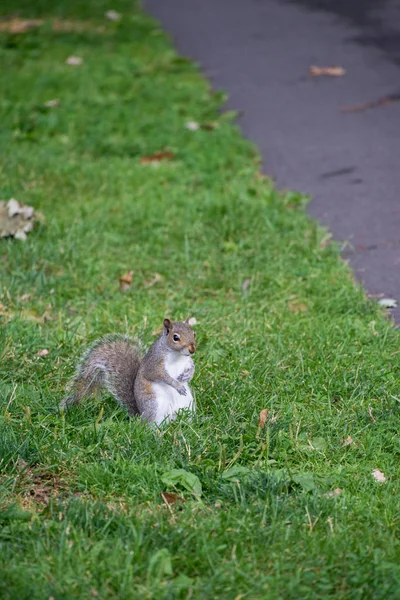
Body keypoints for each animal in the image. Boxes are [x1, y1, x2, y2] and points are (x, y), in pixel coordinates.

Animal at [60, 316, 195, 424]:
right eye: (175, 337)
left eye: (194, 333)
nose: (192, 350)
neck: (177, 355)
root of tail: (140, 415)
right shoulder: (154, 363)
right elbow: (158, 375)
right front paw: (177, 385)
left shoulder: (187, 361)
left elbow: (192, 367)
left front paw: (187, 376)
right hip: (154, 405)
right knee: (149, 425)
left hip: (188, 404)